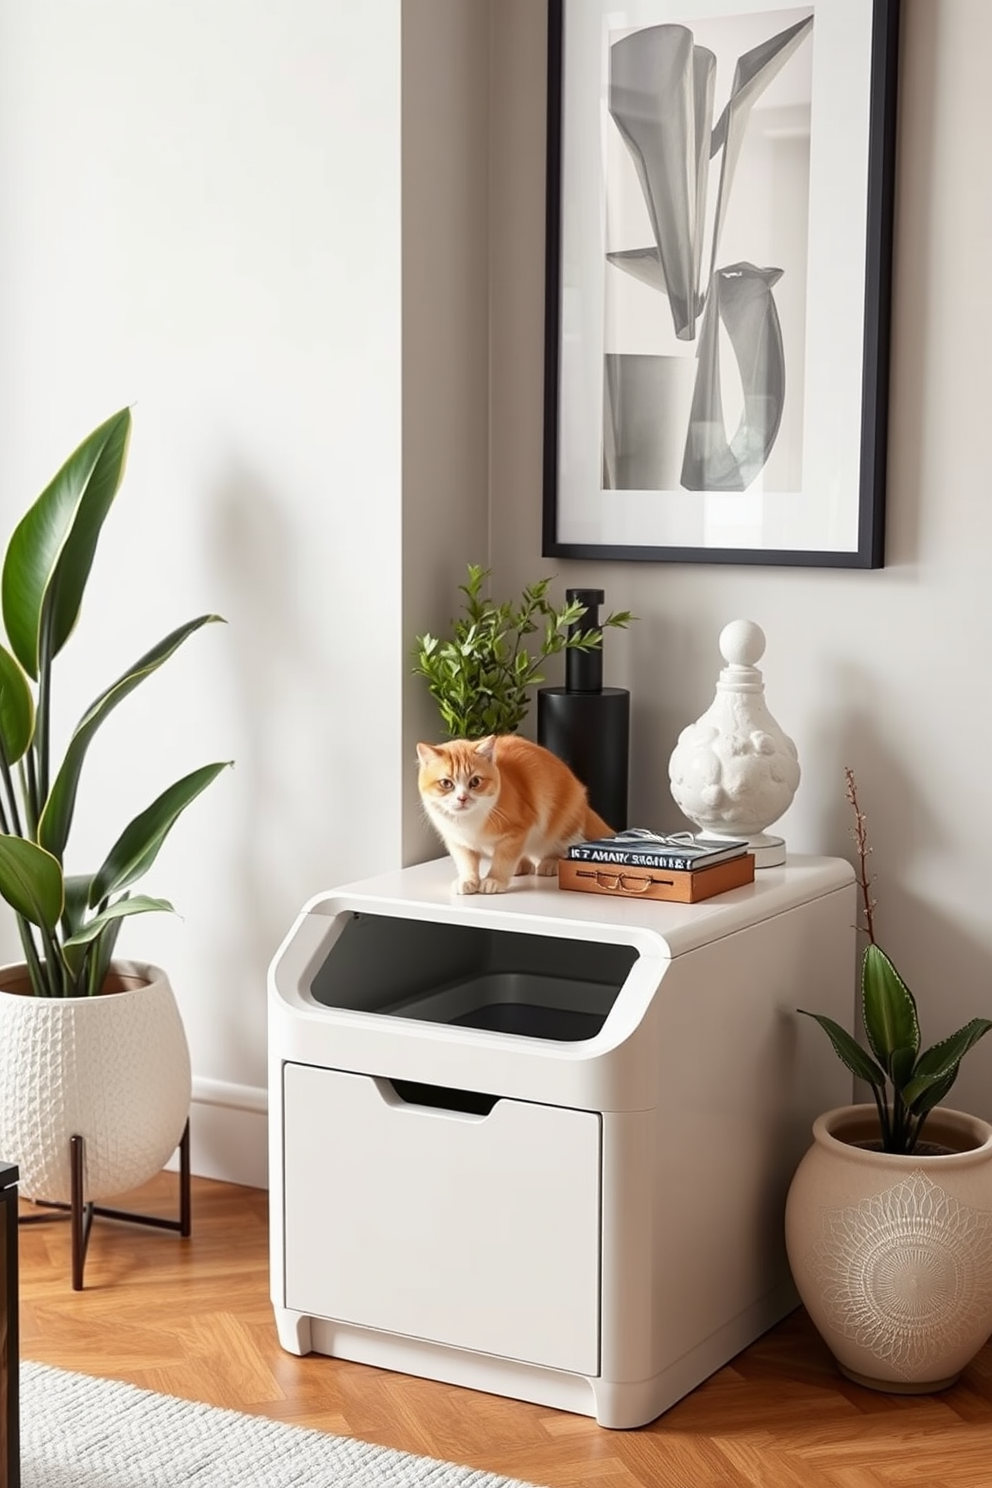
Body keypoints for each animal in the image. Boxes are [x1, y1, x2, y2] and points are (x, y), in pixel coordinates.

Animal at [413, 735, 612, 892]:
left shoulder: (517, 830)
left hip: (561, 822)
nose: (462, 798)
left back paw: (550, 863)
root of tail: (581, 796)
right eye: (446, 783)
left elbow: (504, 858)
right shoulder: (458, 841)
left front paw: (494, 880)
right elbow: (466, 862)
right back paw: (521, 866)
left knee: (557, 844)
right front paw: (468, 880)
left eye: (475, 782)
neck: (468, 821)